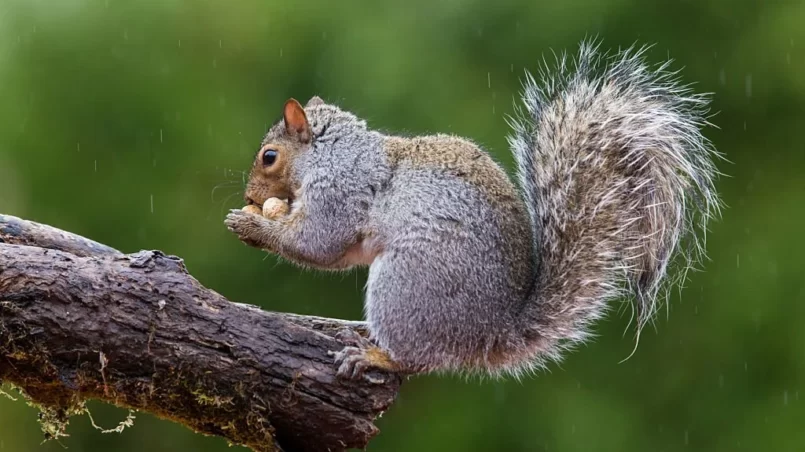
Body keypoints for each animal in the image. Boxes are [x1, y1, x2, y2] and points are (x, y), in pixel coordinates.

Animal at [225, 42, 724, 380]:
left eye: (269, 156)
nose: (250, 197)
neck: (330, 152)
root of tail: (489, 334)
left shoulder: (340, 190)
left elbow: (318, 243)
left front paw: (250, 224)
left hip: (406, 284)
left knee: (417, 361)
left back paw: (374, 354)